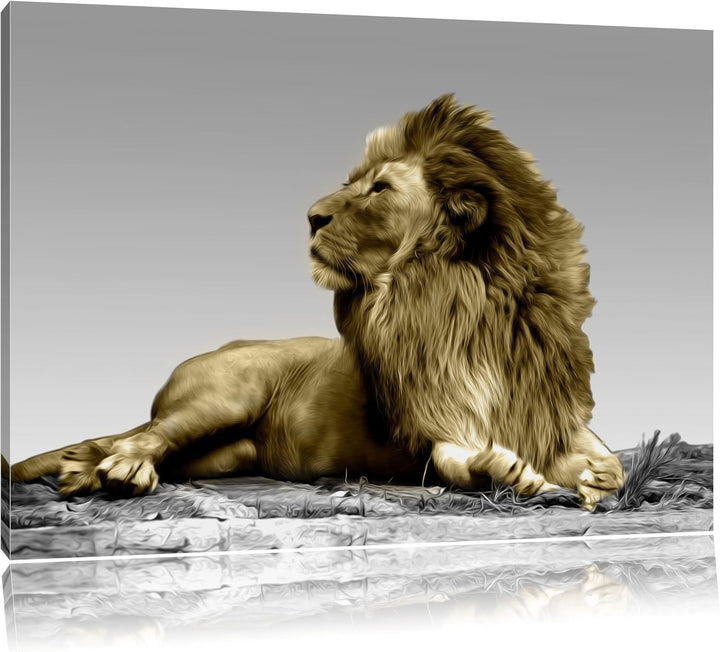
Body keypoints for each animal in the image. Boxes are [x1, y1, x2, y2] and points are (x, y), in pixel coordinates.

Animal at [12, 95, 624, 510]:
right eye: (354, 183)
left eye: (379, 189)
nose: (311, 216)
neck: (464, 301)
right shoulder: (430, 424)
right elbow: (458, 459)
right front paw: (504, 469)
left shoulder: (544, 410)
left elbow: (604, 459)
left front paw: (595, 474)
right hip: (224, 396)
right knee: (141, 436)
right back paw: (121, 469)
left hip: (230, 453)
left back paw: (86, 468)